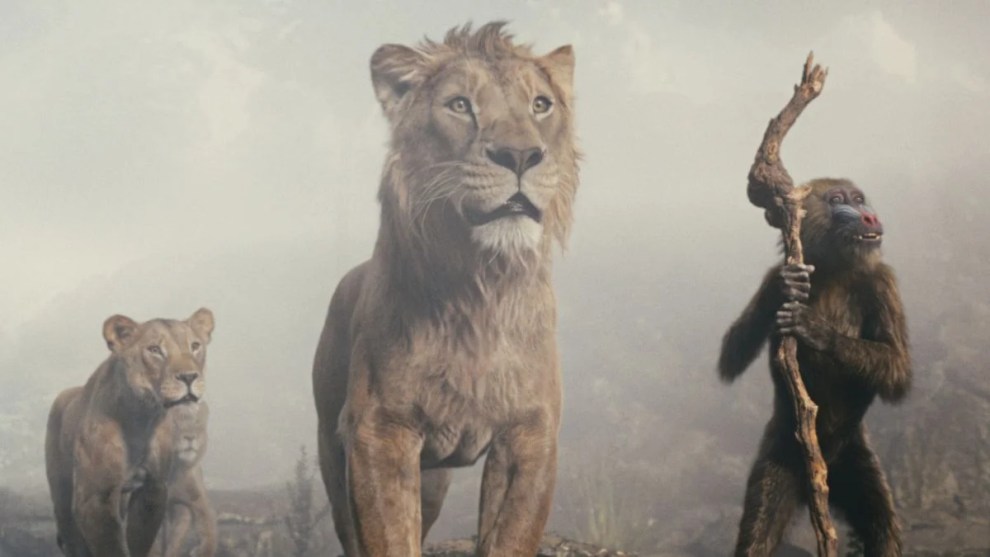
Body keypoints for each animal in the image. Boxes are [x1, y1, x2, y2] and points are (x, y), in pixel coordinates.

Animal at [151, 401, 217, 557]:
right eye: (175, 424)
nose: (190, 437)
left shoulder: (195, 501)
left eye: (197, 425)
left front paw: (202, 551)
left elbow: (208, 529)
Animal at [312, 22, 578, 556]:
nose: (521, 154)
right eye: (460, 105)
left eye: (541, 105)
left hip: (432, 477)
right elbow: (390, 539)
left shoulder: (530, 434)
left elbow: (510, 537)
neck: (480, 290)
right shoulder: (378, 431)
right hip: (334, 450)